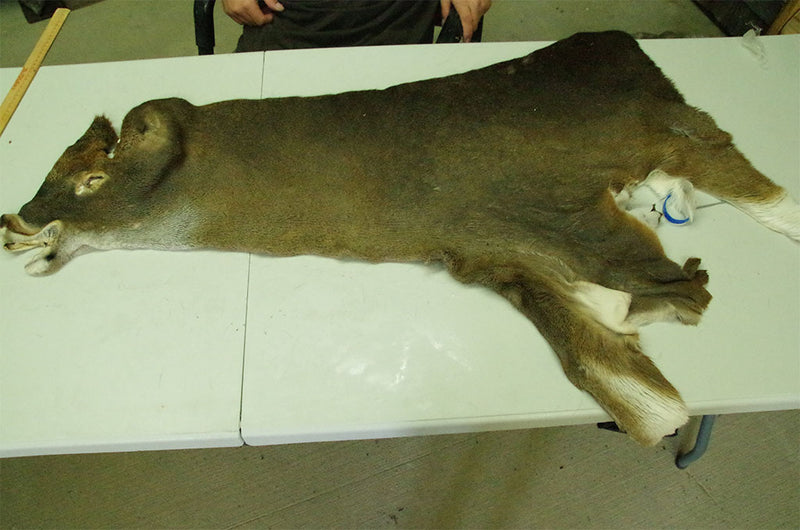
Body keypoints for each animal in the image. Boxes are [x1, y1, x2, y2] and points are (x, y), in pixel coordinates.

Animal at [2, 31, 798, 446]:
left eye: (87, 180)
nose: (16, 219)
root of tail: (625, 49)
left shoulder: (552, 232)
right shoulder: (515, 255)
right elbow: (639, 392)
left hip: (665, 130)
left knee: (745, 176)